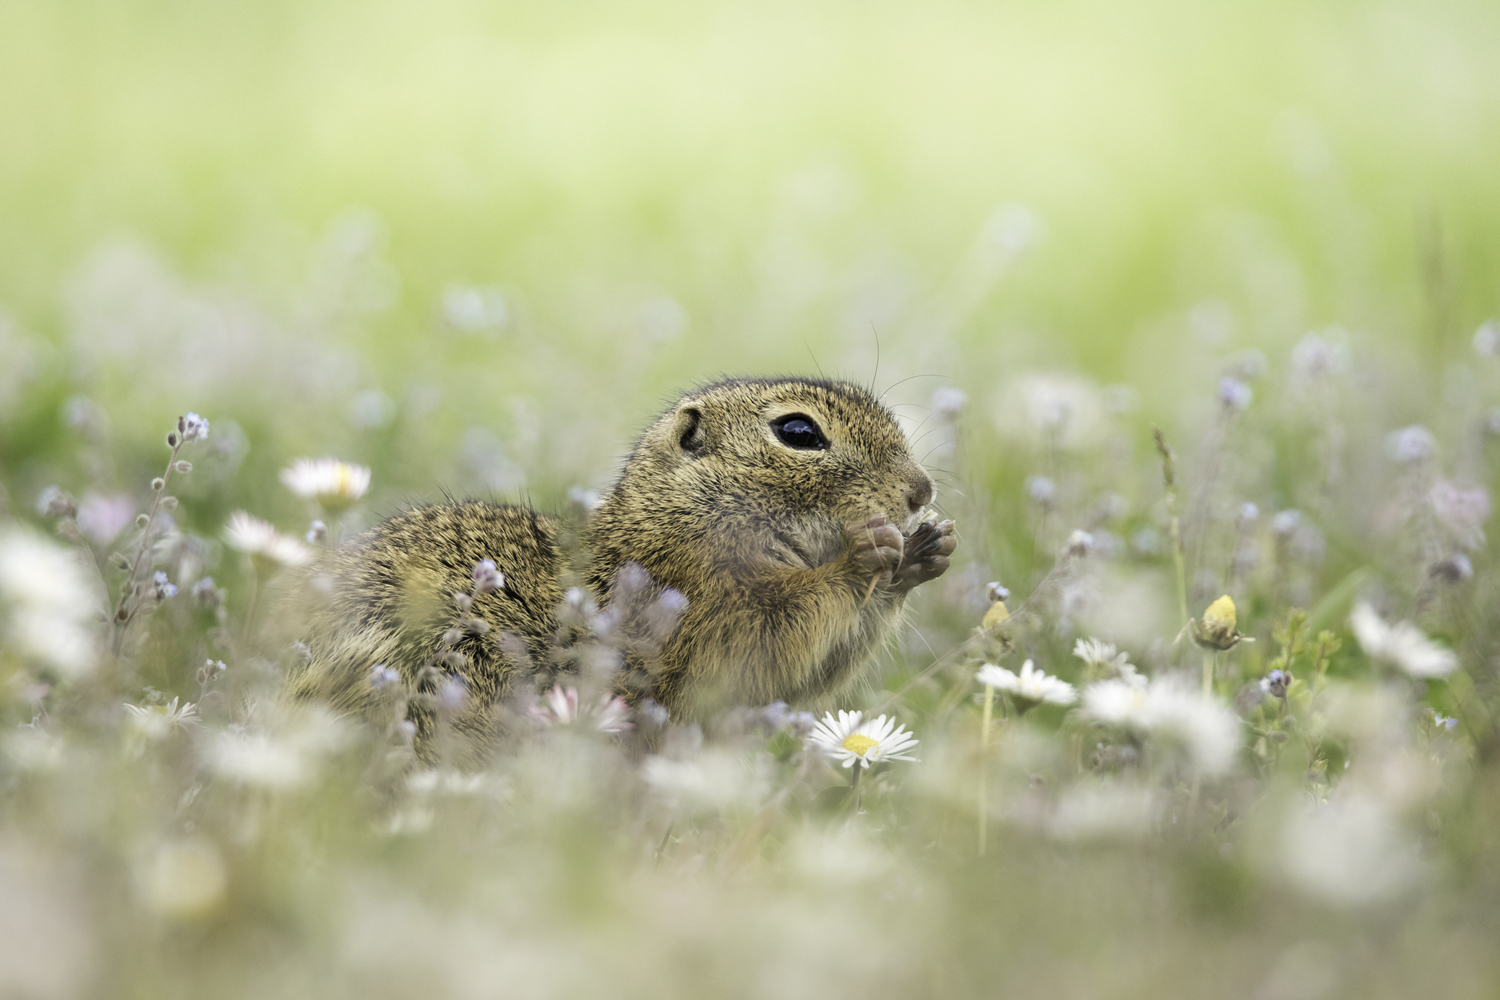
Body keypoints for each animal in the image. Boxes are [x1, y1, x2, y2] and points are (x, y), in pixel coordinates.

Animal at [286, 374, 954, 749]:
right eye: (798, 432)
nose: (921, 491)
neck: (679, 522)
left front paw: (924, 553)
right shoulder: (707, 609)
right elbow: (773, 638)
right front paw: (864, 558)